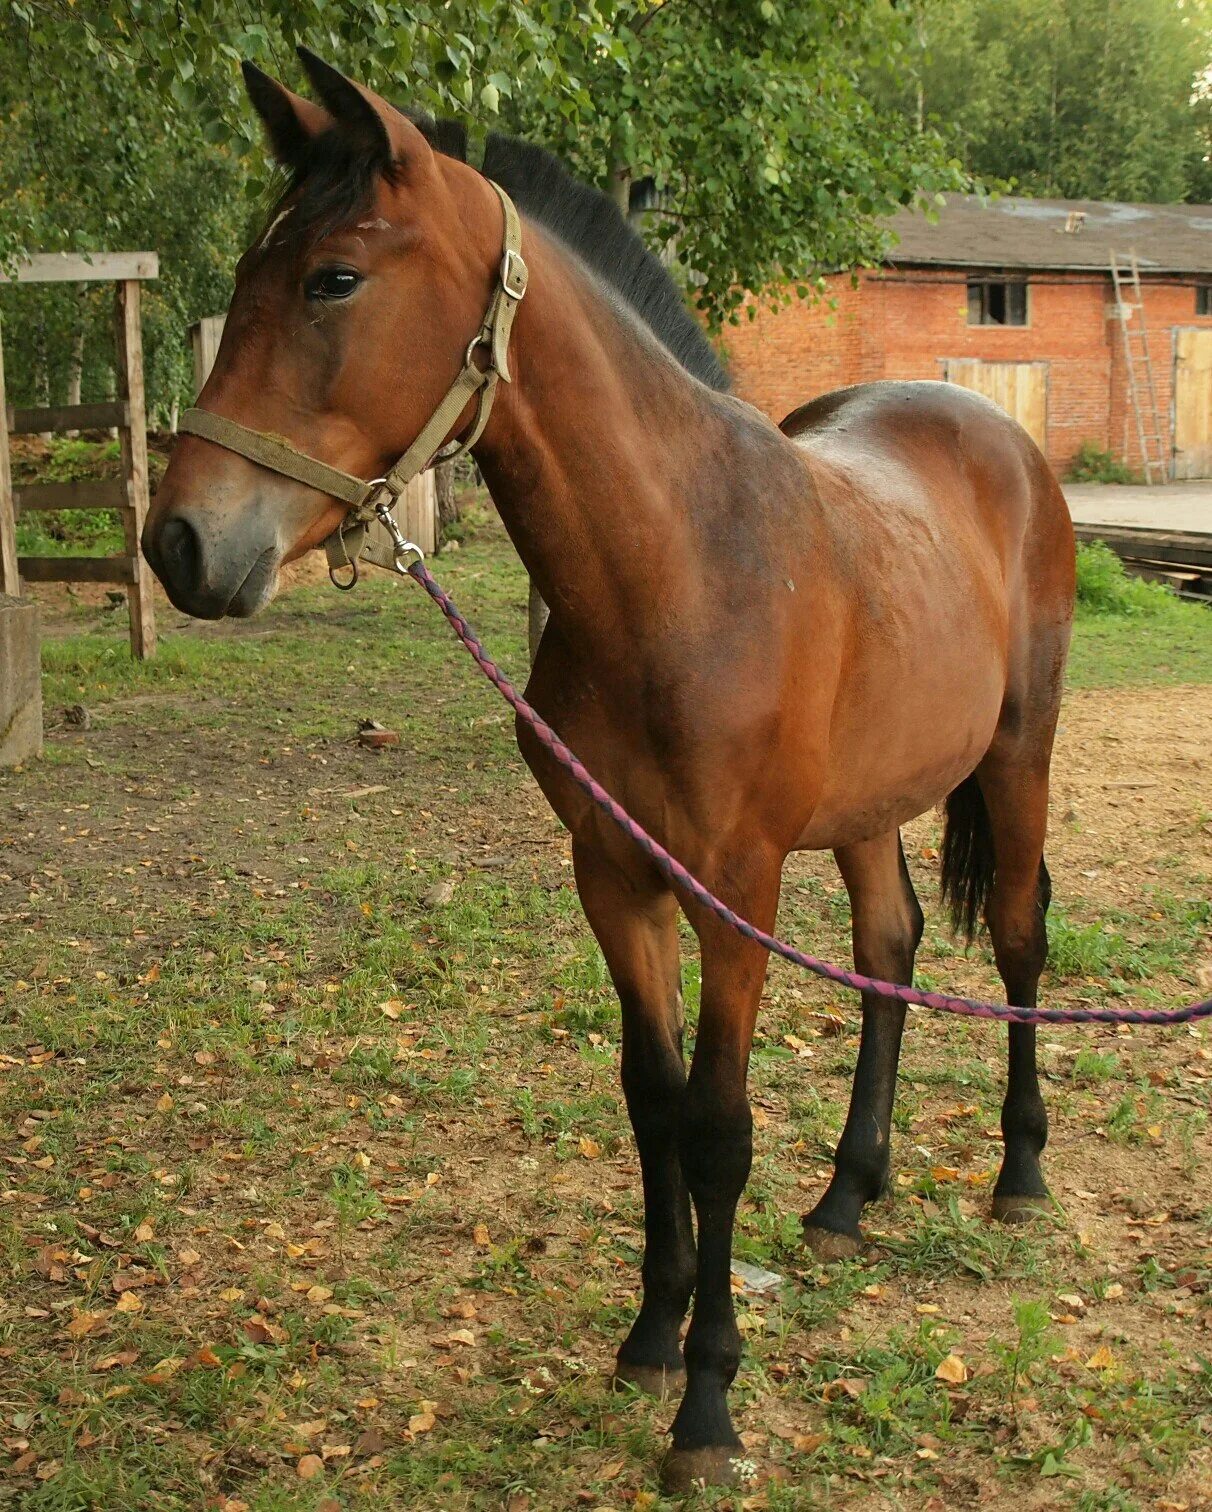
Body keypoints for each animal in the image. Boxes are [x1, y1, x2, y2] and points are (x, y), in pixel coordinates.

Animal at [142, 53, 1069, 1493]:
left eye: (333, 278)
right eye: (250, 269)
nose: (181, 542)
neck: (679, 567)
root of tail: (997, 433)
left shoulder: (734, 888)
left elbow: (722, 1125)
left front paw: (709, 1409)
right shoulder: (613, 878)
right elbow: (652, 1102)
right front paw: (650, 1335)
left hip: (1019, 755)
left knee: (1020, 937)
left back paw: (1017, 1178)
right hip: (869, 804)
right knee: (891, 945)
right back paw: (847, 1196)